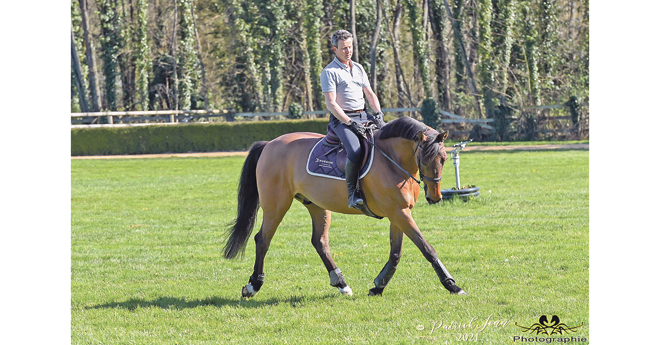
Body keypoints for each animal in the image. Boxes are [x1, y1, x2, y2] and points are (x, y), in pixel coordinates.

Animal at [224, 115, 466, 296]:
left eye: (444, 159)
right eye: (423, 159)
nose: (435, 197)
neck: (392, 160)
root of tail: (270, 144)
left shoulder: (399, 213)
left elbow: (395, 253)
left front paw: (378, 286)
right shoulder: (398, 213)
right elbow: (427, 248)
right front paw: (452, 285)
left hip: (317, 205)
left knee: (319, 241)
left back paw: (341, 283)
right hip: (276, 205)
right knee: (263, 239)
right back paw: (253, 285)